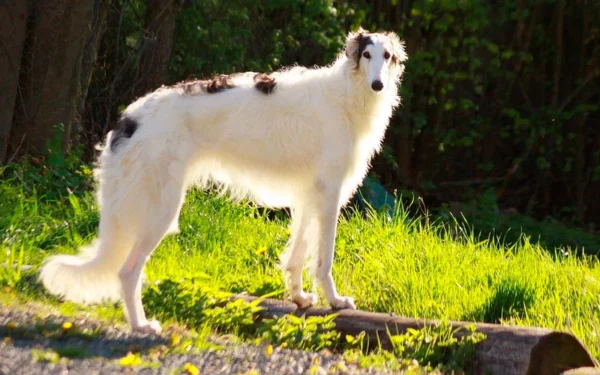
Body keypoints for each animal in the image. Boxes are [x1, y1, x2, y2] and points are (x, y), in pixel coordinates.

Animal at [38, 29, 408, 334]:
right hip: (161, 210)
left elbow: (296, 255)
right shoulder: (330, 193)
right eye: (367, 54)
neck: (345, 95)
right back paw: (141, 326)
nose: (378, 85)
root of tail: (130, 118)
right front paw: (335, 301)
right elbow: (323, 259)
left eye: (387, 56)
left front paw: (300, 298)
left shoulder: (308, 196)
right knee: (127, 272)